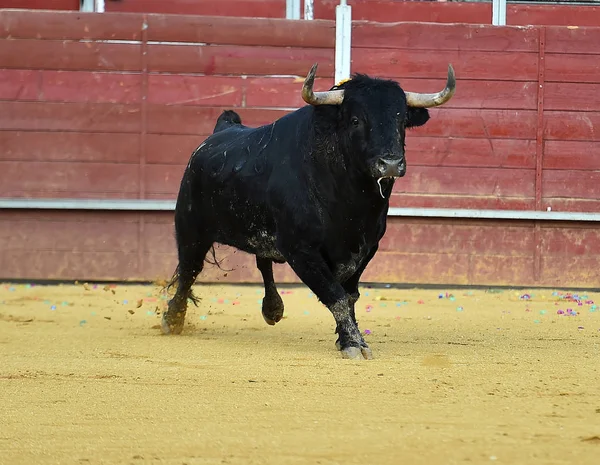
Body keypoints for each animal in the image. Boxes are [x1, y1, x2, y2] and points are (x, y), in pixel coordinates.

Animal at [161, 62, 454, 358]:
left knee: (261, 261)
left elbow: (350, 296)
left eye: (401, 120)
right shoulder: (300, 249)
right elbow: (335, 295)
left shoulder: (367, 247)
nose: (391, 163)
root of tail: (221, 129)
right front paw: (353, 344)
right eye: (356, 120)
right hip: (190, 228)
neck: (351, 202)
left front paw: (349, 339)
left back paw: (272, 309)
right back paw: (173, 319)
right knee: (189, 270)